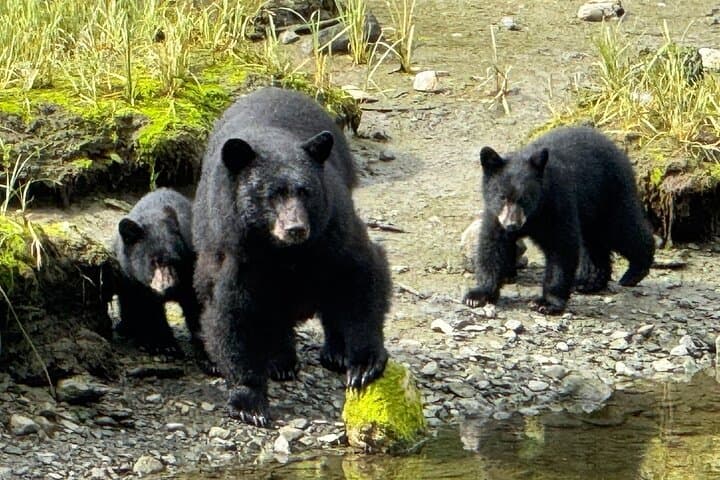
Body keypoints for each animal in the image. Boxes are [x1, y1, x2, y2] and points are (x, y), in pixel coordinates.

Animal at [113, 188, 204, 359]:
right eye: (153, 262)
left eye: (175, 260)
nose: (168, 287)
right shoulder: (134, 281)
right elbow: (146, 308)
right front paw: (164, 346)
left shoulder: (190, 267)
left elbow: (197, 303)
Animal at [192, 86, 391, 427]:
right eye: (271, 194)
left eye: (305, 191)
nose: (296, 228)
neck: (280, 250)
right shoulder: (236, 250)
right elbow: (231, 309)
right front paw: (250, 401)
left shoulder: (331, 228)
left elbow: (359, 273)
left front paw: (364, 364)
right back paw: (281, 359)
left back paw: (333, 352)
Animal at [463, 126, 655, 315]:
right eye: (502, 197)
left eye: (525, 198)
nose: (512, 225)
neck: (534, 215)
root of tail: (615, 147)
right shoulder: (496, 215)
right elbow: (492, 246)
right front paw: (477, 295)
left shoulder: (556, 204)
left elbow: (561, 248)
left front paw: (546, 303)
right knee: (594, 242)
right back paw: (589, 282)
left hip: (610, 192)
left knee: (622, 229)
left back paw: (634, 271)